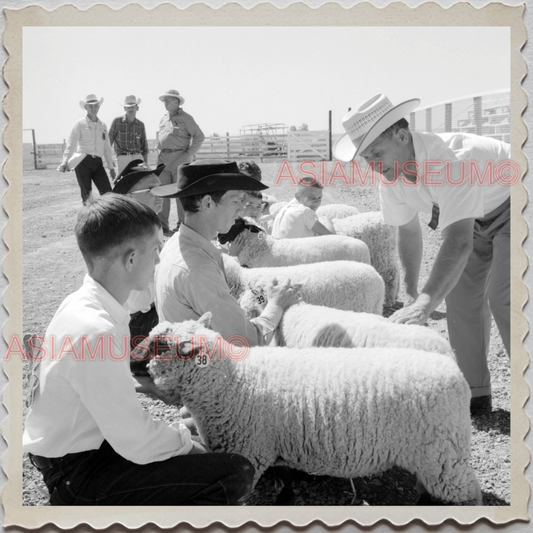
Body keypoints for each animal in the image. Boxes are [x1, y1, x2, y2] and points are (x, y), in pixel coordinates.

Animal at [136, 314, 482, 504]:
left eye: (160, 346)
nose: (131, 356)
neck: (231, 382)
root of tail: (455, 371)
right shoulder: (274, 441)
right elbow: (284, 472)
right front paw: (286, 496)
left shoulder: (251, 451)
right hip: (434, 458)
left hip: (444, 457)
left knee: (468, 495)